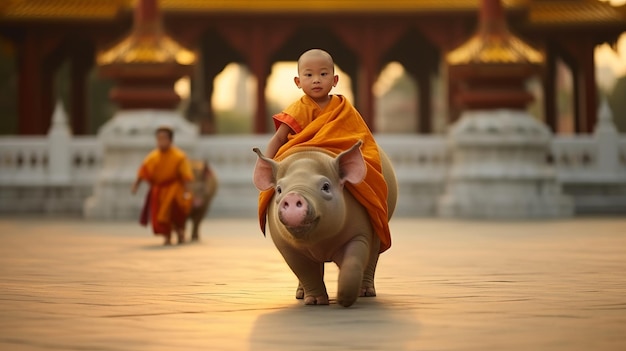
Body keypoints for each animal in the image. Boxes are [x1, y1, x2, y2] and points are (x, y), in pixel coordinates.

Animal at [252, 141, 394, 308]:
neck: (320, 244)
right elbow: (305, 272)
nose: (292, 196)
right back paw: (300, 296)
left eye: (325, 186)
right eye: (279, 189)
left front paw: (344, 300)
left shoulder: (360, 232)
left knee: (372, 257)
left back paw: (366, 293)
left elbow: (353, 260)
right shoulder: (285, 246)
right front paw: (315, 302)